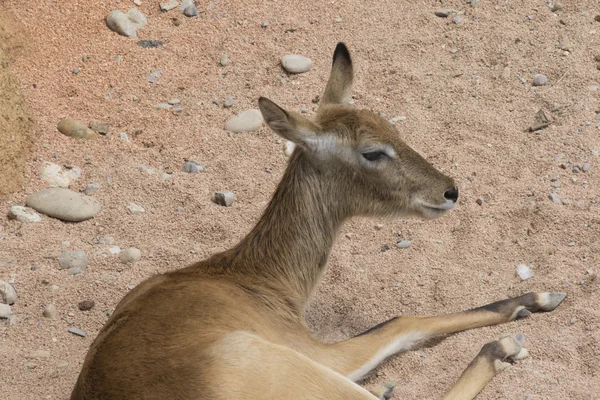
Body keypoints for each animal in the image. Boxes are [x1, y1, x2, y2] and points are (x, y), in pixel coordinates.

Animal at [72, 43, 564, 400]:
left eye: (392, 126)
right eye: (372, 151)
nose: (449, 190)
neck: (250, 278)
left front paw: (535, 298)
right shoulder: (320, 354)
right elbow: (401, 319)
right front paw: (534, 302)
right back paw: (502, 347)